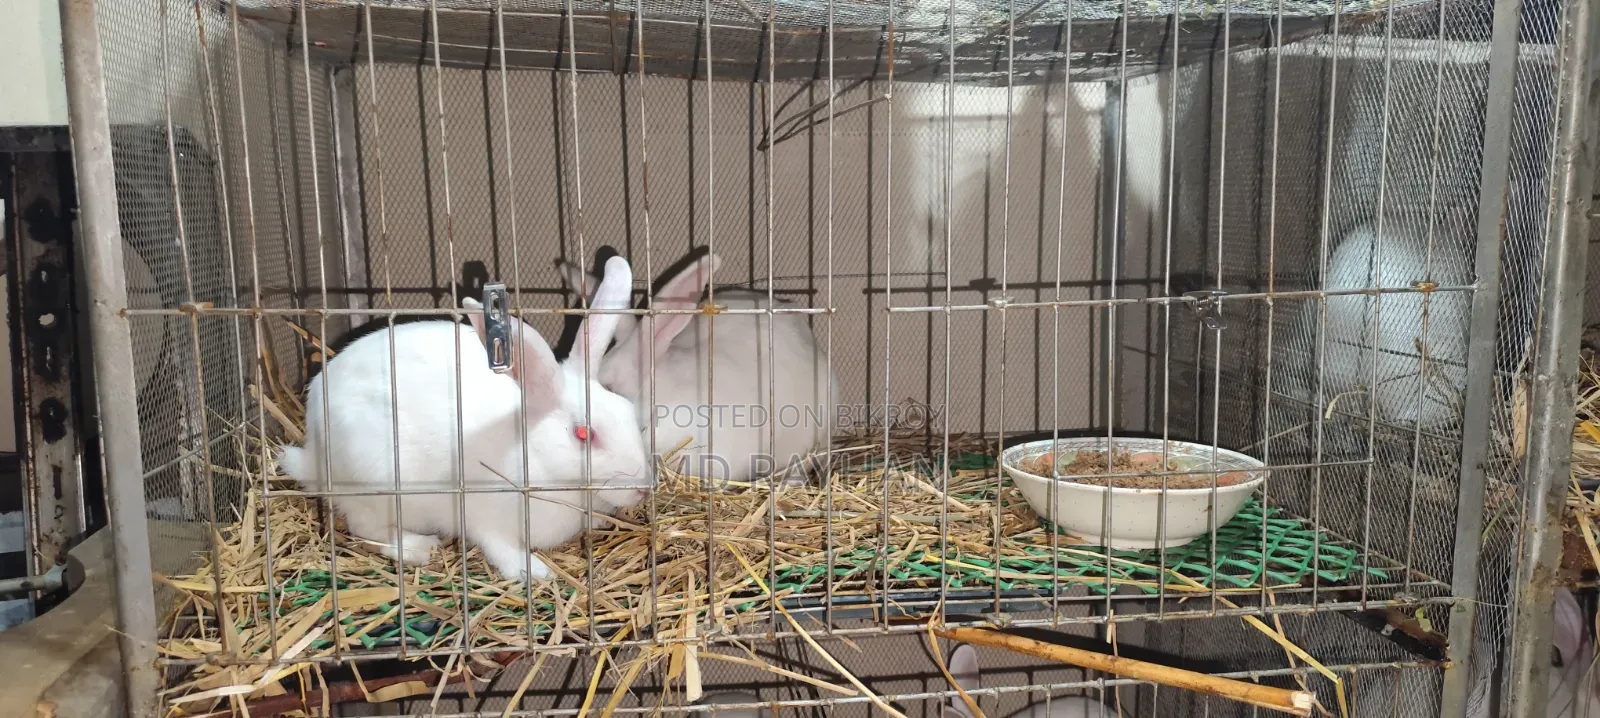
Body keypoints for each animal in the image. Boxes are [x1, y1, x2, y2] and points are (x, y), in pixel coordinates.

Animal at [276, 256, 654, 581]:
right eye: (582, 434)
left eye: (627, 412)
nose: (642, 490)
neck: (537, 457)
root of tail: (314, 455)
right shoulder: (486, 517)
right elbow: (500, 548)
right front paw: (535, 572)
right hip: (375, 483)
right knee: (367, 530)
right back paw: (418, 547)